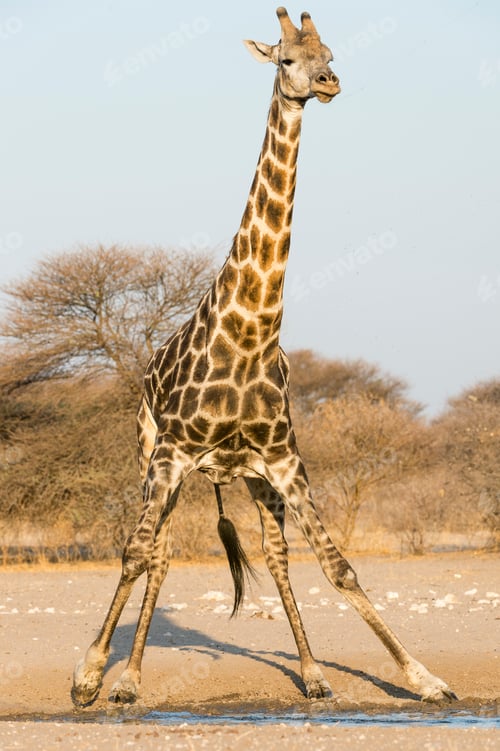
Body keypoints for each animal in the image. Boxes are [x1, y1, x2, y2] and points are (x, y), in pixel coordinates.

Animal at [72, 7, 456, 707]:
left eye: (331, 54)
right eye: (286, 60)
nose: (327, 84)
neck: (250, 334)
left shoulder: (285, 458)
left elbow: (338, 565)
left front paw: (424, 678)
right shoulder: (170, 455)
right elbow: (137, 554)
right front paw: (88, 676)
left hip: (249, 476)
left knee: (273, 553)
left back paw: (311, 674)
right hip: (152, 456)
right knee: (158, 551)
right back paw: (129, 679)